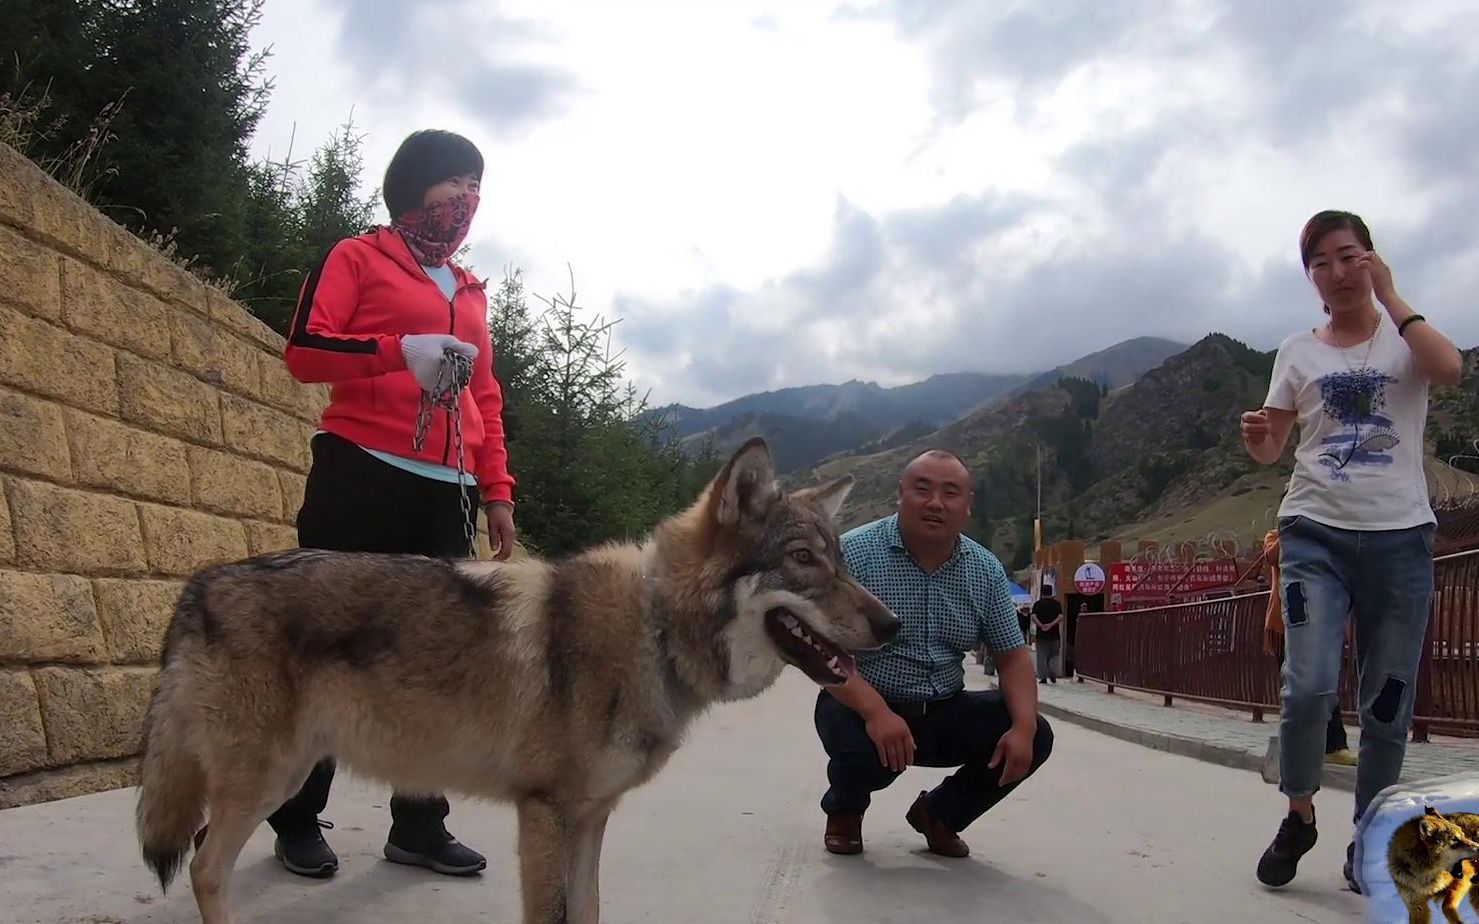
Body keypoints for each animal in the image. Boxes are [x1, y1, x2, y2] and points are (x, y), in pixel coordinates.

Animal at [139, 440, 893, 922]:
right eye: (803, 560)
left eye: (840, 561)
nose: (893, 624)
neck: (651, 629)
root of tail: (199, 583)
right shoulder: (545, 814)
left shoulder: (590, 818)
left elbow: (589, 913)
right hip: (273, 778)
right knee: (205, 868)